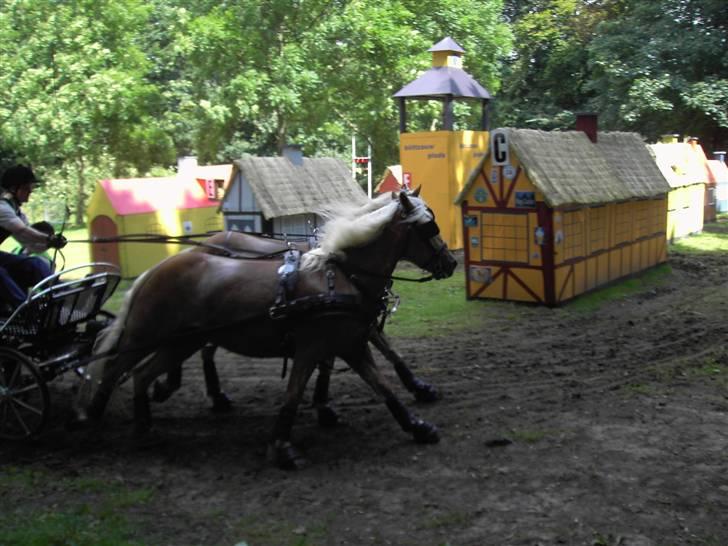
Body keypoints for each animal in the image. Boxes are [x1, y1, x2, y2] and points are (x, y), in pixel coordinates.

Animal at [150, 228, 443, 423]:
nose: (449, 263)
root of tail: (201, 246)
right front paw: (323, 406)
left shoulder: (354, 323)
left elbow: (388, 352)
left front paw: (419, 388)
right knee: (199, 348)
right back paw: (186, 388)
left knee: (203, 349)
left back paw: (210, 394)